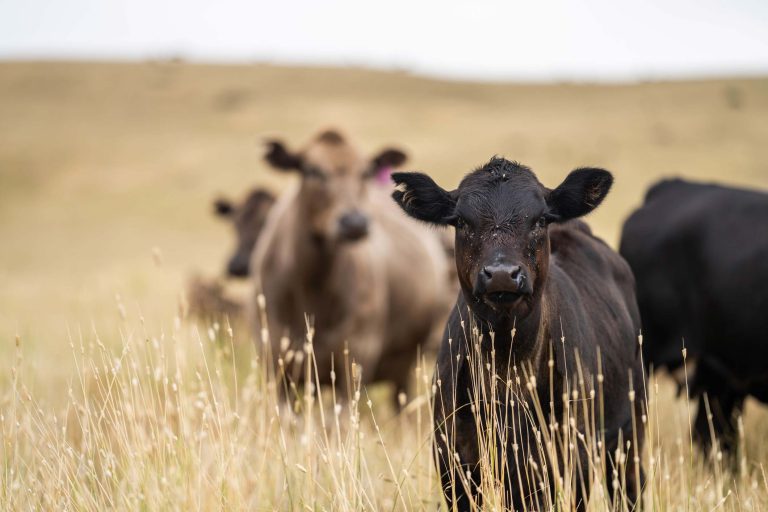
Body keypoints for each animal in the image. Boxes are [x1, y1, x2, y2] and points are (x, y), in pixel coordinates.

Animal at [392, 157, 645, 510]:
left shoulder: (572, 458)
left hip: (630, 433)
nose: (502, 274)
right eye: (461, 221)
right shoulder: (453, 461)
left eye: (540, 219)